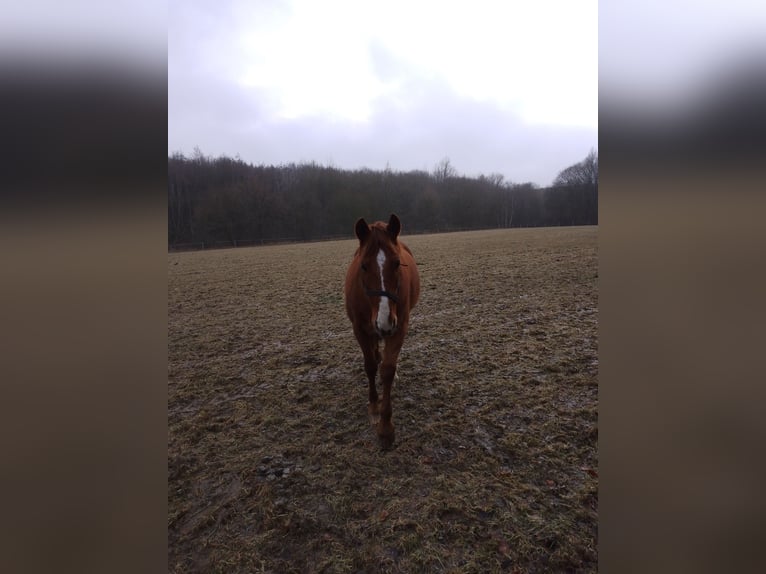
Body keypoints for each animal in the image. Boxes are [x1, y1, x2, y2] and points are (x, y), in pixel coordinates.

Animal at [344, 213, 420, 449]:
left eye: (396, 263)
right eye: (363, 266)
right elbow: (370, 366)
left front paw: (386, 428)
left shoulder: (399, 327)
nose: (384, 321)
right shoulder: (359, 329)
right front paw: (374, 406)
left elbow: (387, 370)